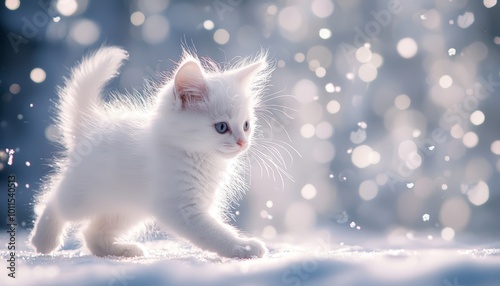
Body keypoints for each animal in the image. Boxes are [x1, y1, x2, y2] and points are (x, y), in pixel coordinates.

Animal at [30, 46, 274, 260]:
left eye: (246, 125)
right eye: (222, 127)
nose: (243, 142)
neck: (199, 158)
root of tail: (92, 127)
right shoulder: (183, 210)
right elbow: (214, 232)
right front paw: (243, 246)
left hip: (128, 209)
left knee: (92, 234)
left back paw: (123, 251)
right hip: (85, 194)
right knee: (53, 201)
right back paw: (44, 240)